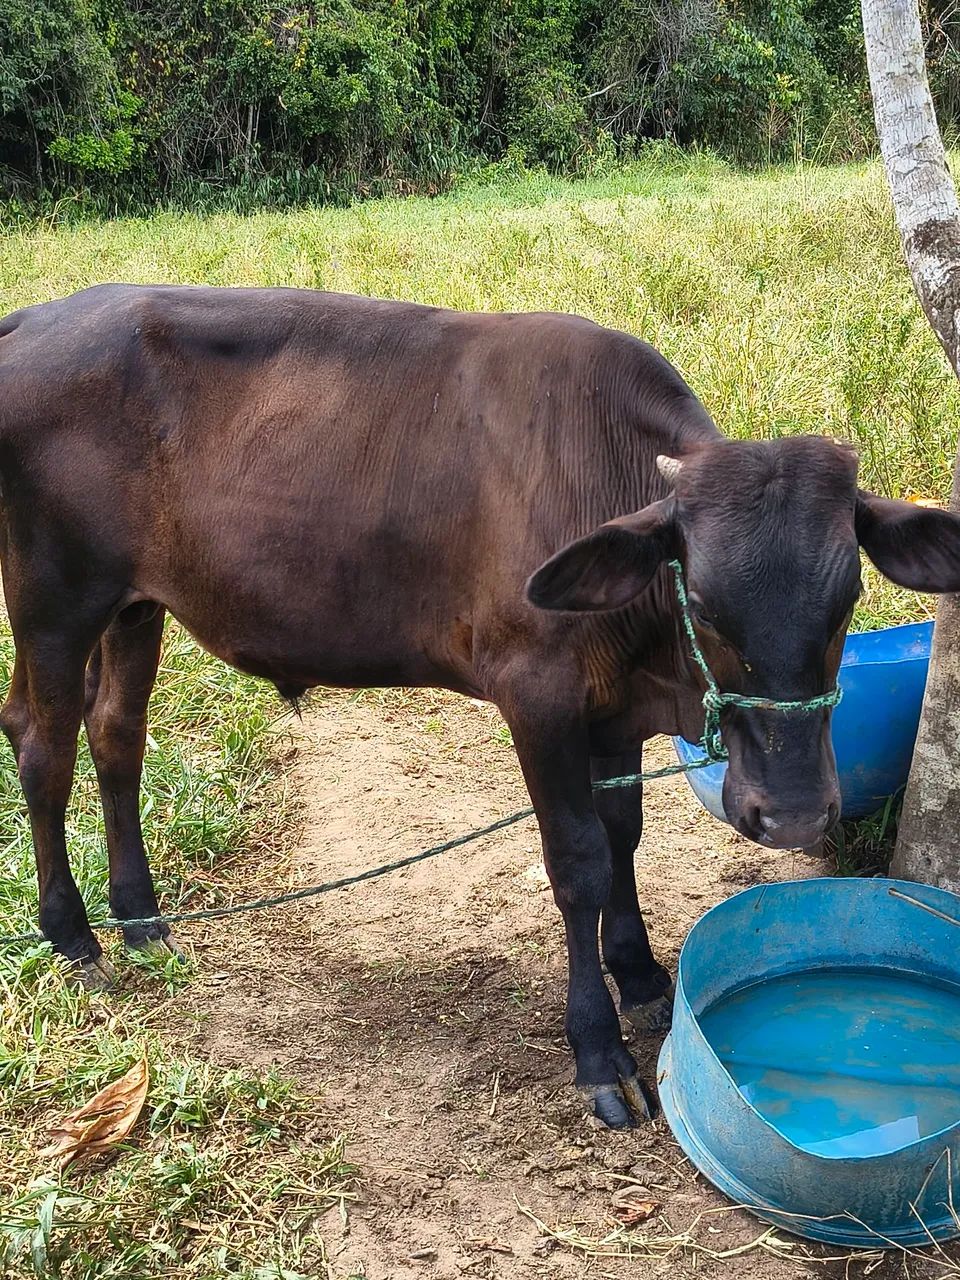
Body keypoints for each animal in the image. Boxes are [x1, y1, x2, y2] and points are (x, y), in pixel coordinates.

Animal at [2, 284, 959, 1128]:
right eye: (706, 602)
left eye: (845, 599)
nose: (793, 814)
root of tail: (38, 318)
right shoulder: (537, 694)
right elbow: (578, 863)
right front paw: (599, 1052)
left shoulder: (611, 710)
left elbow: (623, 839)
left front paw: (643, 976)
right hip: (53, 601)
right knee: (43, 745)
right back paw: (74, 934)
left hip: (134, 607)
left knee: (115, 736)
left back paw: (141, 918)